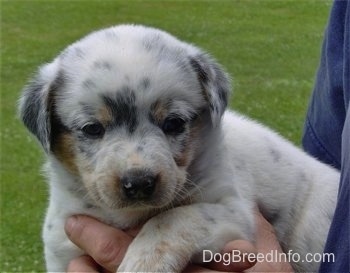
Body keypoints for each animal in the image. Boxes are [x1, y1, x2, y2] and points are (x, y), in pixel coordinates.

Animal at [19, 24, 340, 270]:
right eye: (92, 129)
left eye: (174, 123)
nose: (139, 183)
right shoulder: (62, 243)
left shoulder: (233, 211)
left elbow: (172, 218)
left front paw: (142, 265)